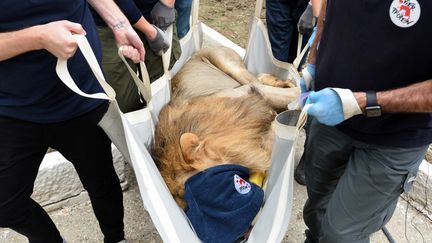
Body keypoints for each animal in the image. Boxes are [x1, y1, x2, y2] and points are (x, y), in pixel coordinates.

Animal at [153, 46, 300, 208]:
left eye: (213, 182)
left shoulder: (249, 93)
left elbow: (294, 94)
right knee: (260, 77)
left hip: (229, 65)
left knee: (259, 80)